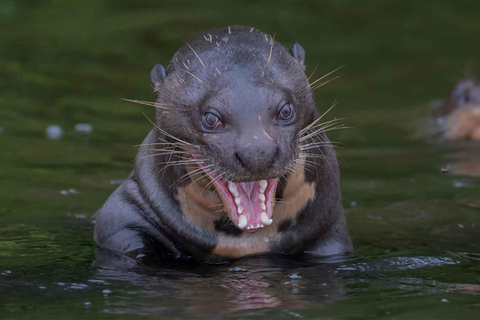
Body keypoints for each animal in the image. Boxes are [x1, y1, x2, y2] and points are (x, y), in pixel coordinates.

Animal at [94, 25, 352, 264]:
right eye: (211, 119)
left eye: (286, 110)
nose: (257, 153)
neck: (245, 243)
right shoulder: (119, 218)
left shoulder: (330, 232)